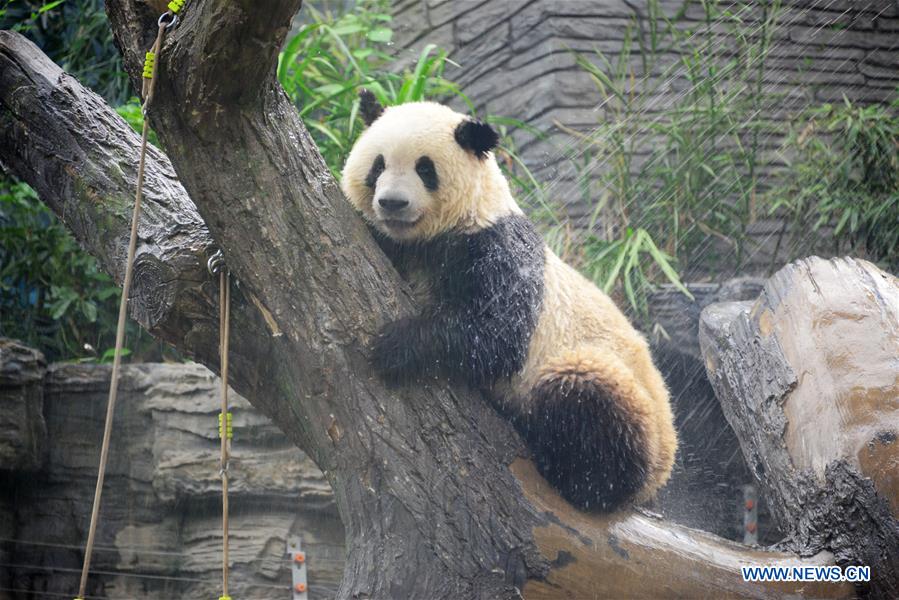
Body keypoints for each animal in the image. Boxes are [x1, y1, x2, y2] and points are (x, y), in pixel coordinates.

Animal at [342, 90, 680, 510]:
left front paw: (394, 345)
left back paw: (579, 477)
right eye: (378, 165)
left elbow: (498, 335)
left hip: (614, 388)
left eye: (425, 169)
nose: (391, 203)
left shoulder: (496, 247)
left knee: (588, 398)